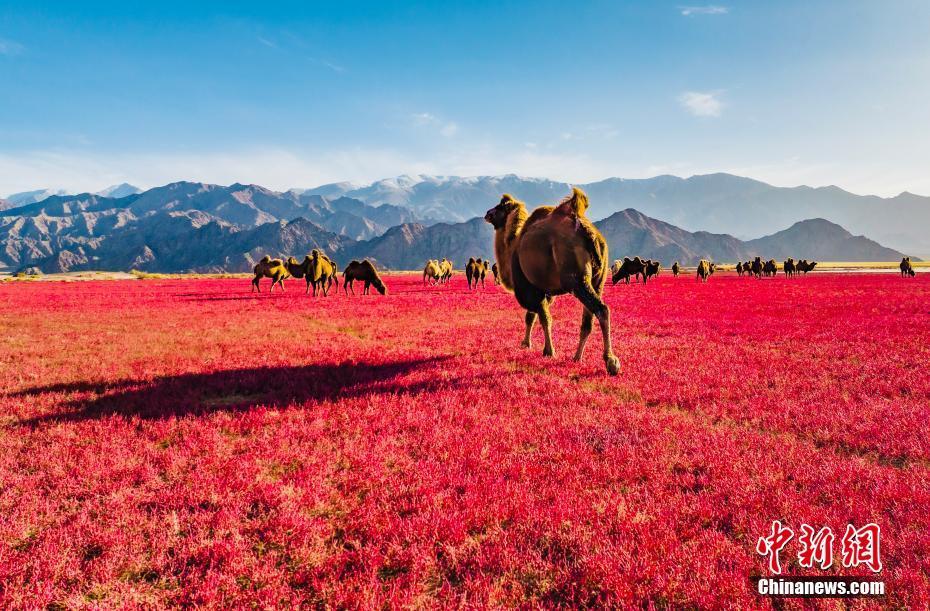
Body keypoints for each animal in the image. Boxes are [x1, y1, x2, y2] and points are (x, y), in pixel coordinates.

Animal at [482, 189, 620, 376]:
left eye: (500, 206)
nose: (487, 213)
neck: (513, 247)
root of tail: (591, 235)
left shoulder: (530, 287)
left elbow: (543, 318)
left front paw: (548, 351)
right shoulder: (542, 288)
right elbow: (531, 316)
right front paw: (526, 343)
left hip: (576, 279)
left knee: (601, 309)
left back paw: (611, 361)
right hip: (598, 280)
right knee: (588, 320)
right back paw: (577, 357)